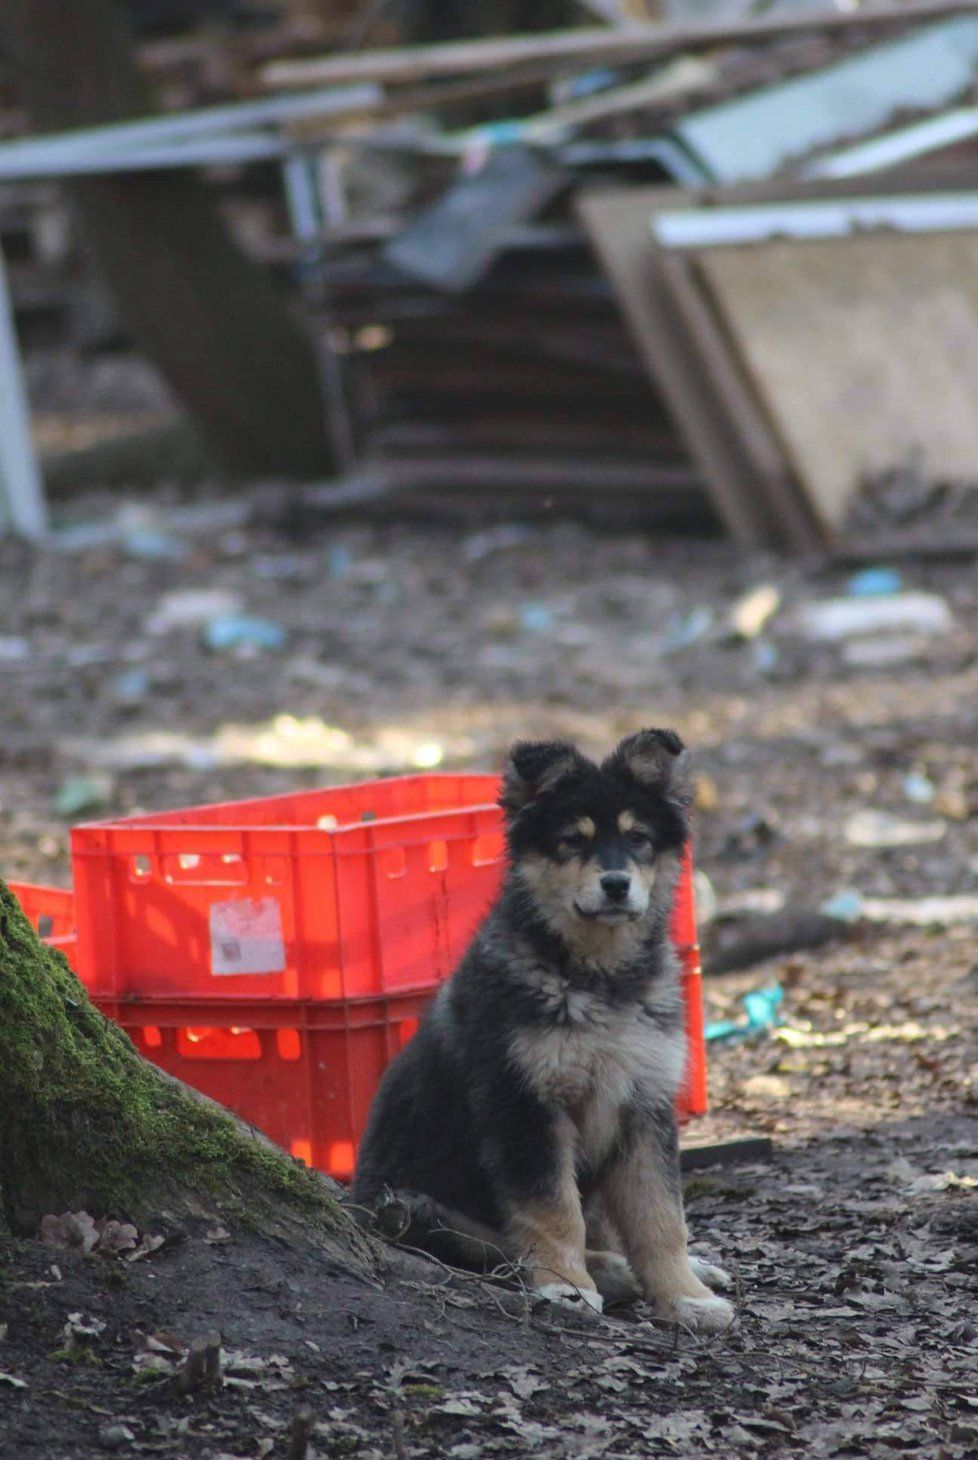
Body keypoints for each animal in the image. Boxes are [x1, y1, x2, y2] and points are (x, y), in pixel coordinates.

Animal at [353, 730, 735, 1337]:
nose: (616, 884)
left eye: (638, 839)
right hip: (409, 1207)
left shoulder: (644, 1104)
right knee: (497, 1244)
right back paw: (606, 1273)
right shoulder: (524, 1104)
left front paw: (685, 1296)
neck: (597, 977)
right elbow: (553, 1210)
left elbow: (660, 1216)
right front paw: (566, 1286)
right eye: (571, 841)